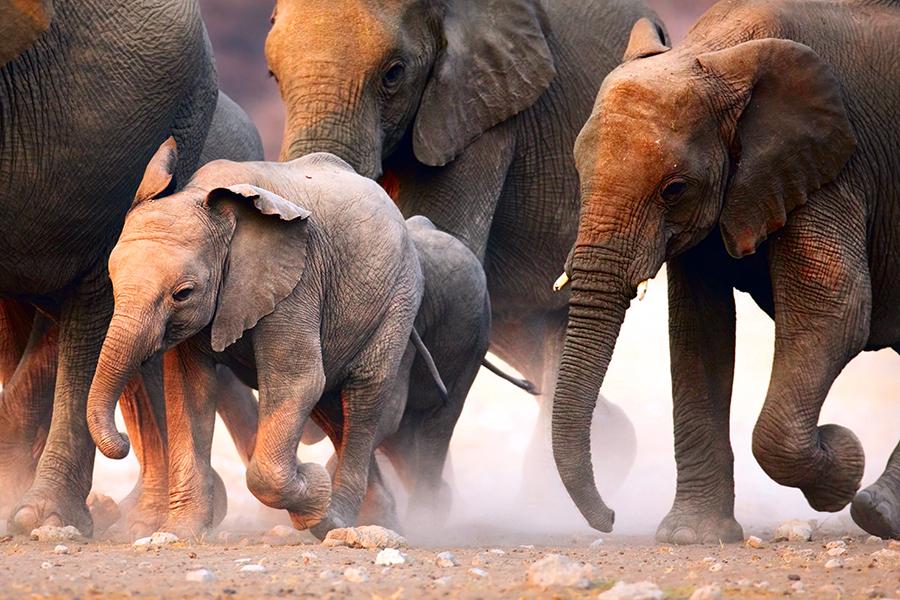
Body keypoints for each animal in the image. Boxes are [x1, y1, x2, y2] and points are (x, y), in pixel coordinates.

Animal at [86, 150, 436, 538]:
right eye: (113, 281)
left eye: (183, 293)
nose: (121, 442)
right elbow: (190, 391)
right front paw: (180, 532)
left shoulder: (296, 282)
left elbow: (296, 381)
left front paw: (314, 488)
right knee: (333, 409)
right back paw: (376, 520)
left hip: (399, 298)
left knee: (363, 396)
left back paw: (335, 519)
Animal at [552, 0, 900, 543]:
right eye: (578, 173)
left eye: (674, 189)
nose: (609, 519)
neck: (720, 53)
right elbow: (698, 331)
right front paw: (692, 537)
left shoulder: (834, 167)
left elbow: (834, 310)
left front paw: (842, 462)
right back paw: (881, 511)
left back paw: (874, 511)